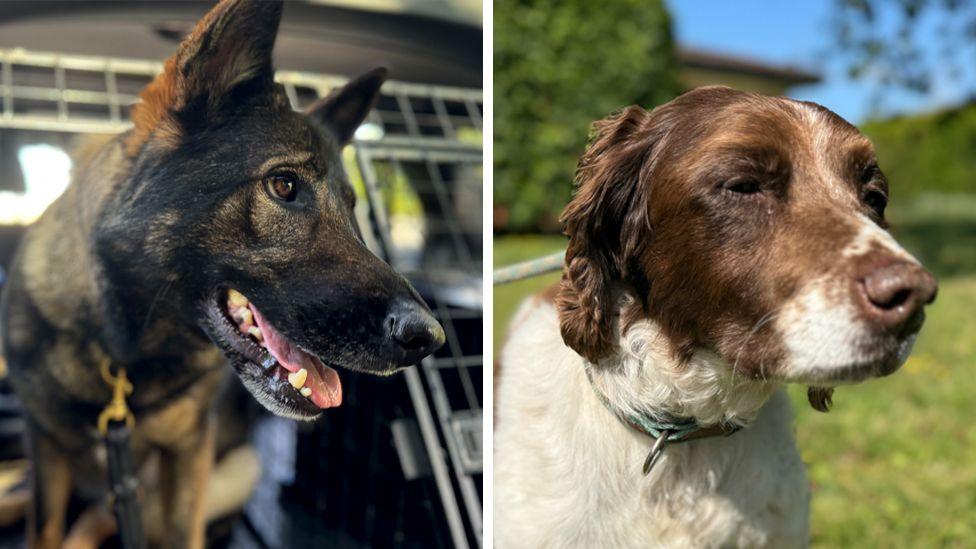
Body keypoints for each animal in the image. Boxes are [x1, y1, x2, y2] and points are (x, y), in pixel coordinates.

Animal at [0, 0, 446, 544]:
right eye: (283, 185)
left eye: (352, 207)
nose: (430, 338)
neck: (124, 353)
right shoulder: (44, 447)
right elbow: (42, 527)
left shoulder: (188, 453)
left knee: (98, 517)